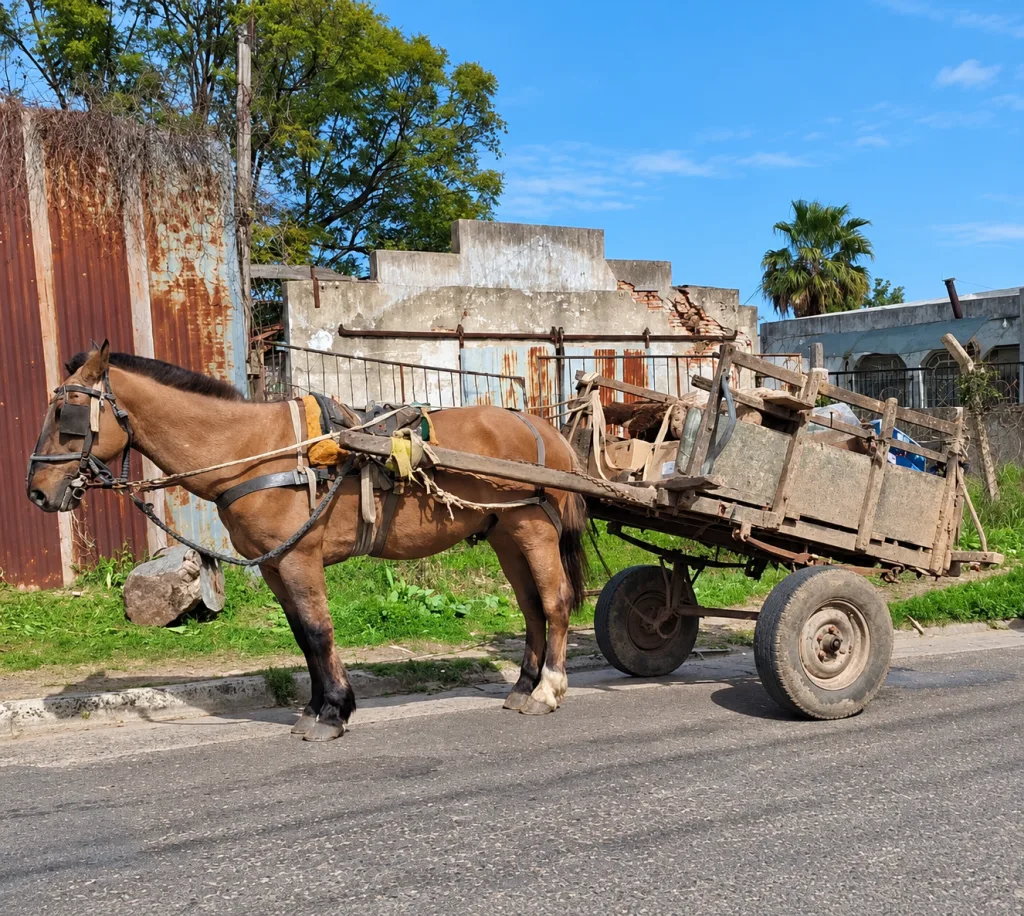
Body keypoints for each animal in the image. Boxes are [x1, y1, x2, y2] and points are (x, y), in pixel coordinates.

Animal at [26, 343, 588, 741]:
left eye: (67, 416)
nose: (37, 492)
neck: (256, 451)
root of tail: (545, 428)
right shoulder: (273, 564)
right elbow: (301, 635)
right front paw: (317, 706)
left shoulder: (299, 557)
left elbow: (318, 631)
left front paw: (334, 712)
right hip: (505, 535)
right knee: (531, 609)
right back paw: (523, 685)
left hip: (533, 531)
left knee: (555, 603)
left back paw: (548, 689)